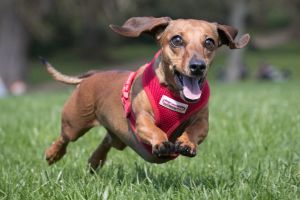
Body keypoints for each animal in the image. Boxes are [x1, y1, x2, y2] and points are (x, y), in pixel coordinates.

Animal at [44, 16, 251, 171]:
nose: (198, 66)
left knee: (106, 141)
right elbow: (154, 129)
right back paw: (53, 154)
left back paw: (95, 161)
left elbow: (196, 130)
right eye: (177, 40)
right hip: (75, 123)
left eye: (209, 42)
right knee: (64, 137)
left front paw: (187, 143)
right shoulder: (143, 119)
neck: (174, 95)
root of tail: (92, 75)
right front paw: (162, 142)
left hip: (118, 138)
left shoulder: (202, 121)